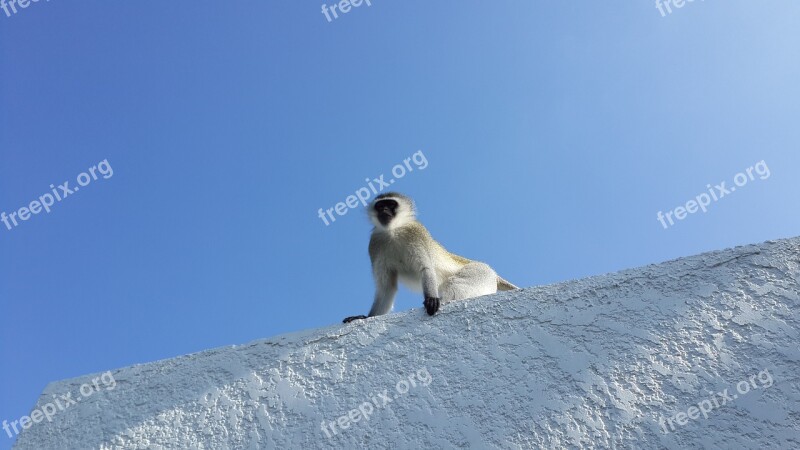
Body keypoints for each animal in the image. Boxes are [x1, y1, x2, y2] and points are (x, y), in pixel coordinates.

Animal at [342, 192, 520, 322]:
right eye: (380, 206)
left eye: (391, 205)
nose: (384, 211)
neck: (393, 231)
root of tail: (493, 272)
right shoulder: (375, 245)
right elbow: (386, 287)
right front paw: (366, 317)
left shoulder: (416, 234)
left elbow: (425, 268)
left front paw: (431, 299)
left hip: (479, 272)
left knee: (453, 284)